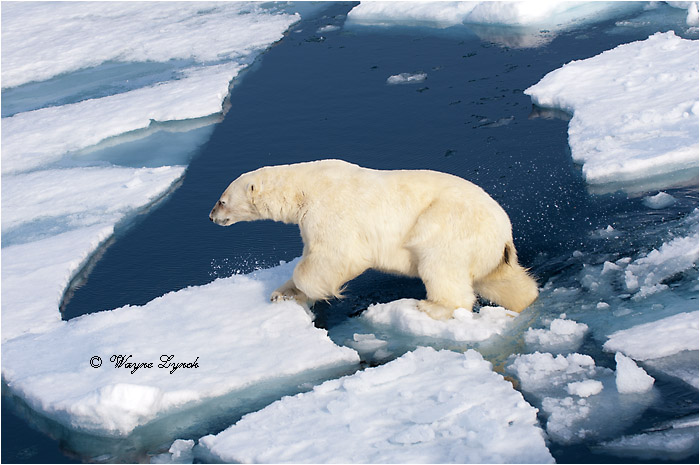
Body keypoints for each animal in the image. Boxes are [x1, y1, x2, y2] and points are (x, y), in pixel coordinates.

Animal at [210, 159, 538, 319]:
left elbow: (335, 256)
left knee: (440, 264)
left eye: (222, 200)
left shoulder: (330, 209)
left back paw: (431, 307)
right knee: (504, 281)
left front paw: (315, 290)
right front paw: (282, 294)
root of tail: (503, 232)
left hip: (448, 225)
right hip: (488, 253)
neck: (302, 189)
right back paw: (526, 301)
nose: (211, 216)